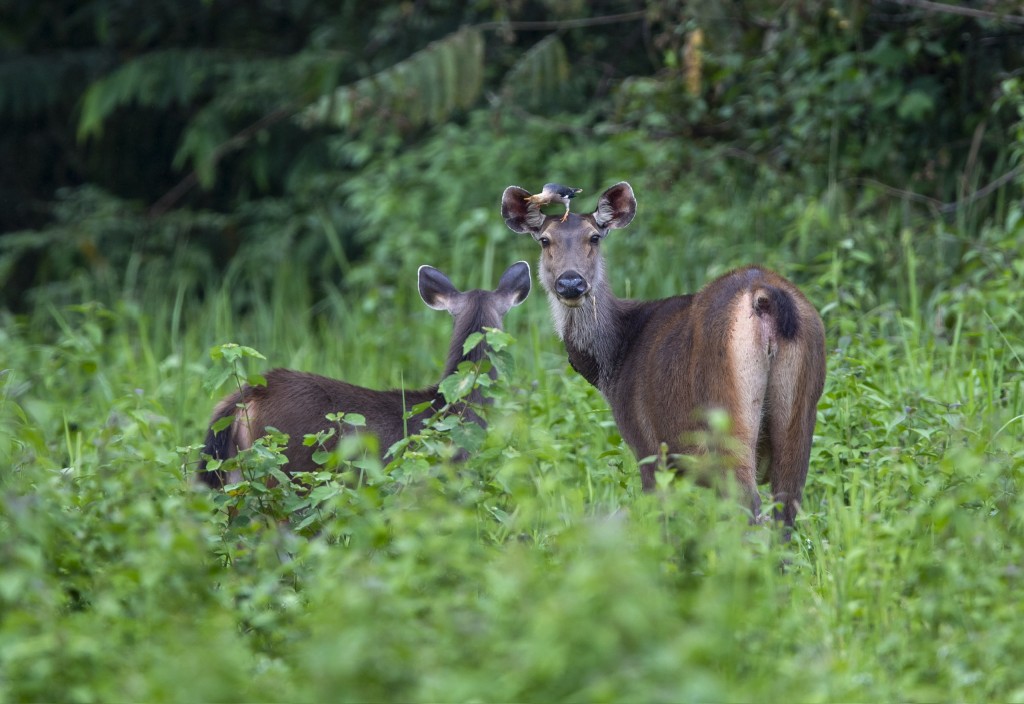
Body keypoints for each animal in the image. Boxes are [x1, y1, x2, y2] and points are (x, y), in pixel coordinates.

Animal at [499, 181, 827, 528]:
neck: (616, 359)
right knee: (785, 512)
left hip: (725, 411)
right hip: (800, 412)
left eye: (594, 237)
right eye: (545, 240)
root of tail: (764, 296)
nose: (571, 282)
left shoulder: (649, 447)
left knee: (748, 507)